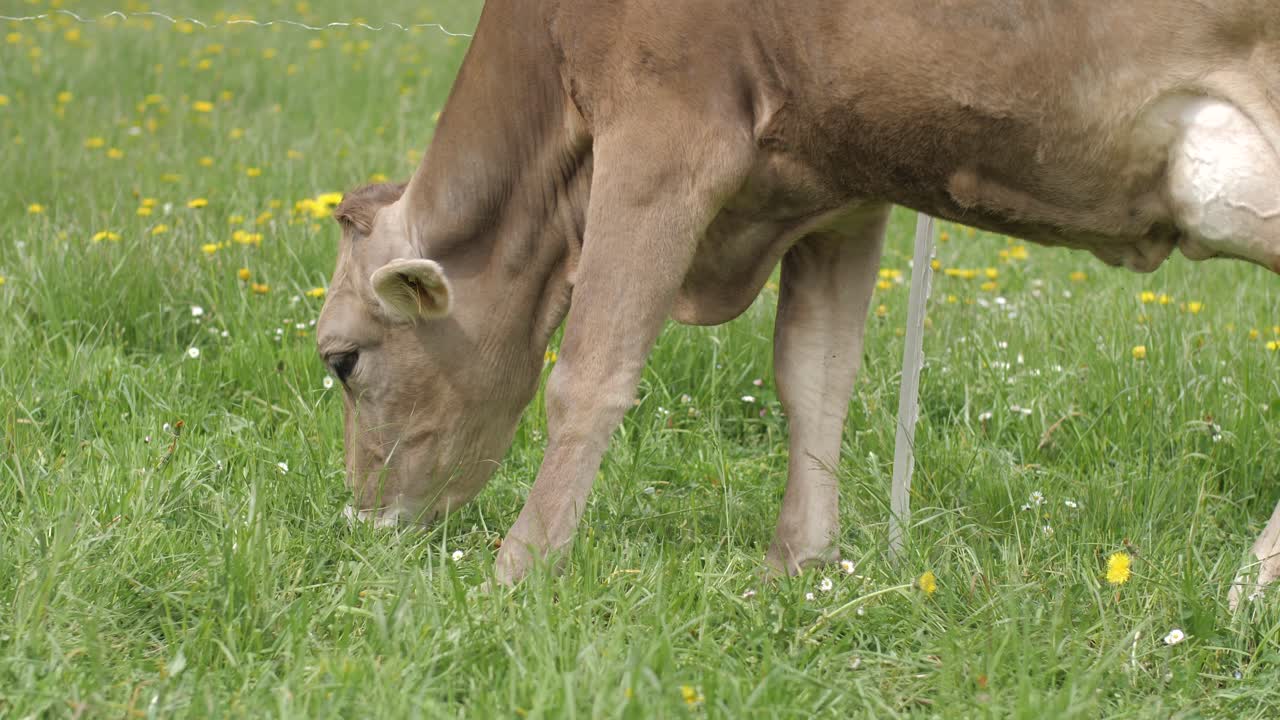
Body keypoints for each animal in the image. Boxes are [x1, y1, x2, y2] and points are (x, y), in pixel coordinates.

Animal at [315, 0, 1280, 604]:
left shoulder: (662, 128)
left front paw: (517, 572)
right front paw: (799, 567)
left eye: (342, 360)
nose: (359, 521)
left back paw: (1245, 597)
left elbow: (590, 374)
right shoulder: (844, 184)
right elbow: (815, 377)